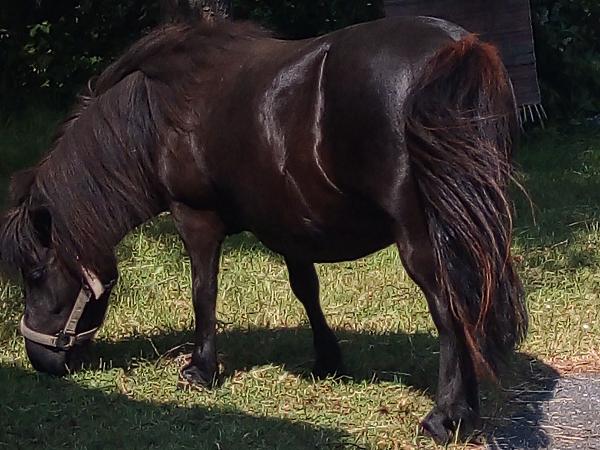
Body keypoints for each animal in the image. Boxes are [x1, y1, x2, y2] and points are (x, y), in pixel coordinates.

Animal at [0, 16, 527, 444]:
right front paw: (327, 361)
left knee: (449, 309)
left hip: (424, 239)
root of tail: (457, 48)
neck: (156, 116)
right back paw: (466, 411)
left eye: (34, 273)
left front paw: (200, 369)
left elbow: (203, 291)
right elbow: (306, 289)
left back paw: (445, 417)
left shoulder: (195, 217)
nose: (40, 362)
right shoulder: (292, 224)